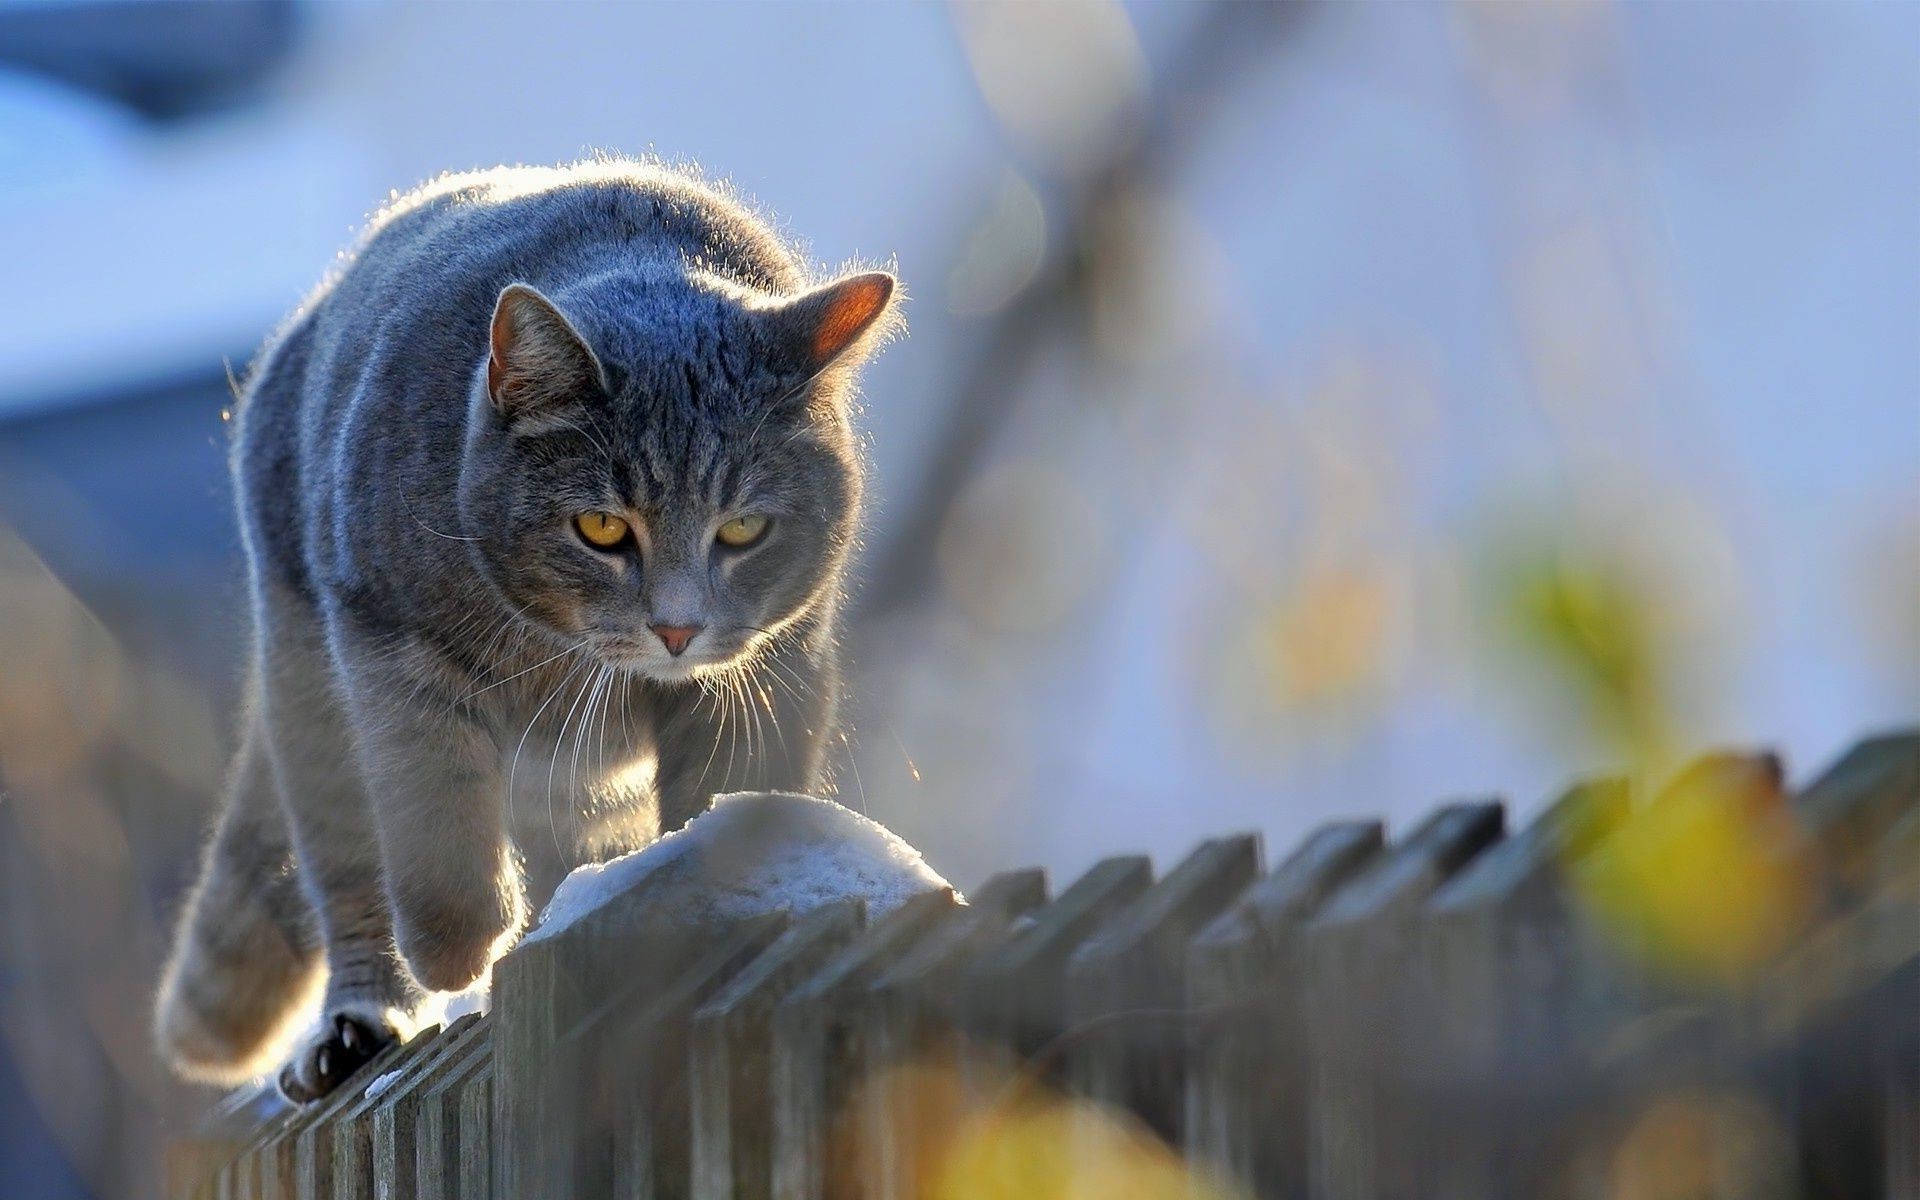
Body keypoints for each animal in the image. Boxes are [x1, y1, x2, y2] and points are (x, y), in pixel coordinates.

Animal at [151, 161, 898, 1105]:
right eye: (602, 527)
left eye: (742, 530)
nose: (678, 627)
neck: (559, 655)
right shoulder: (390, 650)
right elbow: (434, 825)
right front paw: (458, 950)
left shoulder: (770, 674)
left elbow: (727, 796)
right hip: (307, 692)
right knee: (349, 873)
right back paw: (359, 1025)